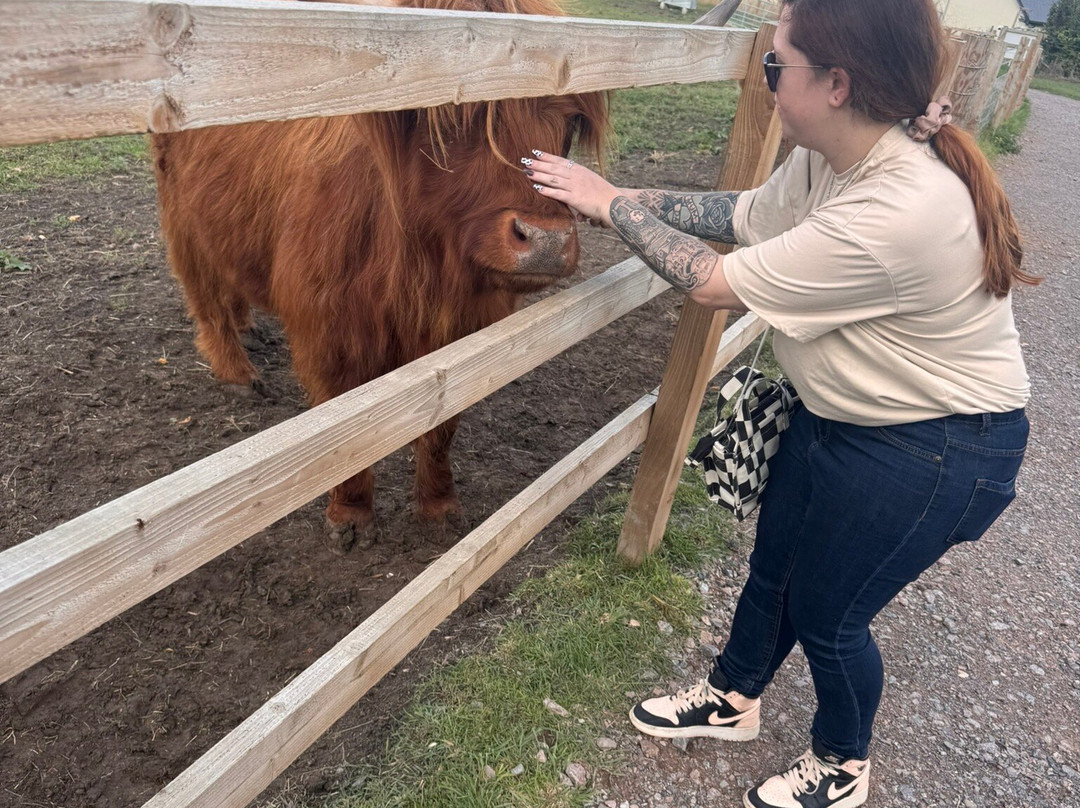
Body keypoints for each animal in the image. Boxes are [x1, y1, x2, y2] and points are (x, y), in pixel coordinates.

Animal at [151, 0, 609, 551]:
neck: (422, 273)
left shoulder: (462, 334)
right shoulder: (330, 333)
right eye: (455, 118)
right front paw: (350, 516)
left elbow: (441, 428)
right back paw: (238, 372)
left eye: (570, 122)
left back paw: (249, 327)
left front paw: (439, 507)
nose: (544, 240)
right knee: (206, 297)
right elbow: (345, 435)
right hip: (184, 220)